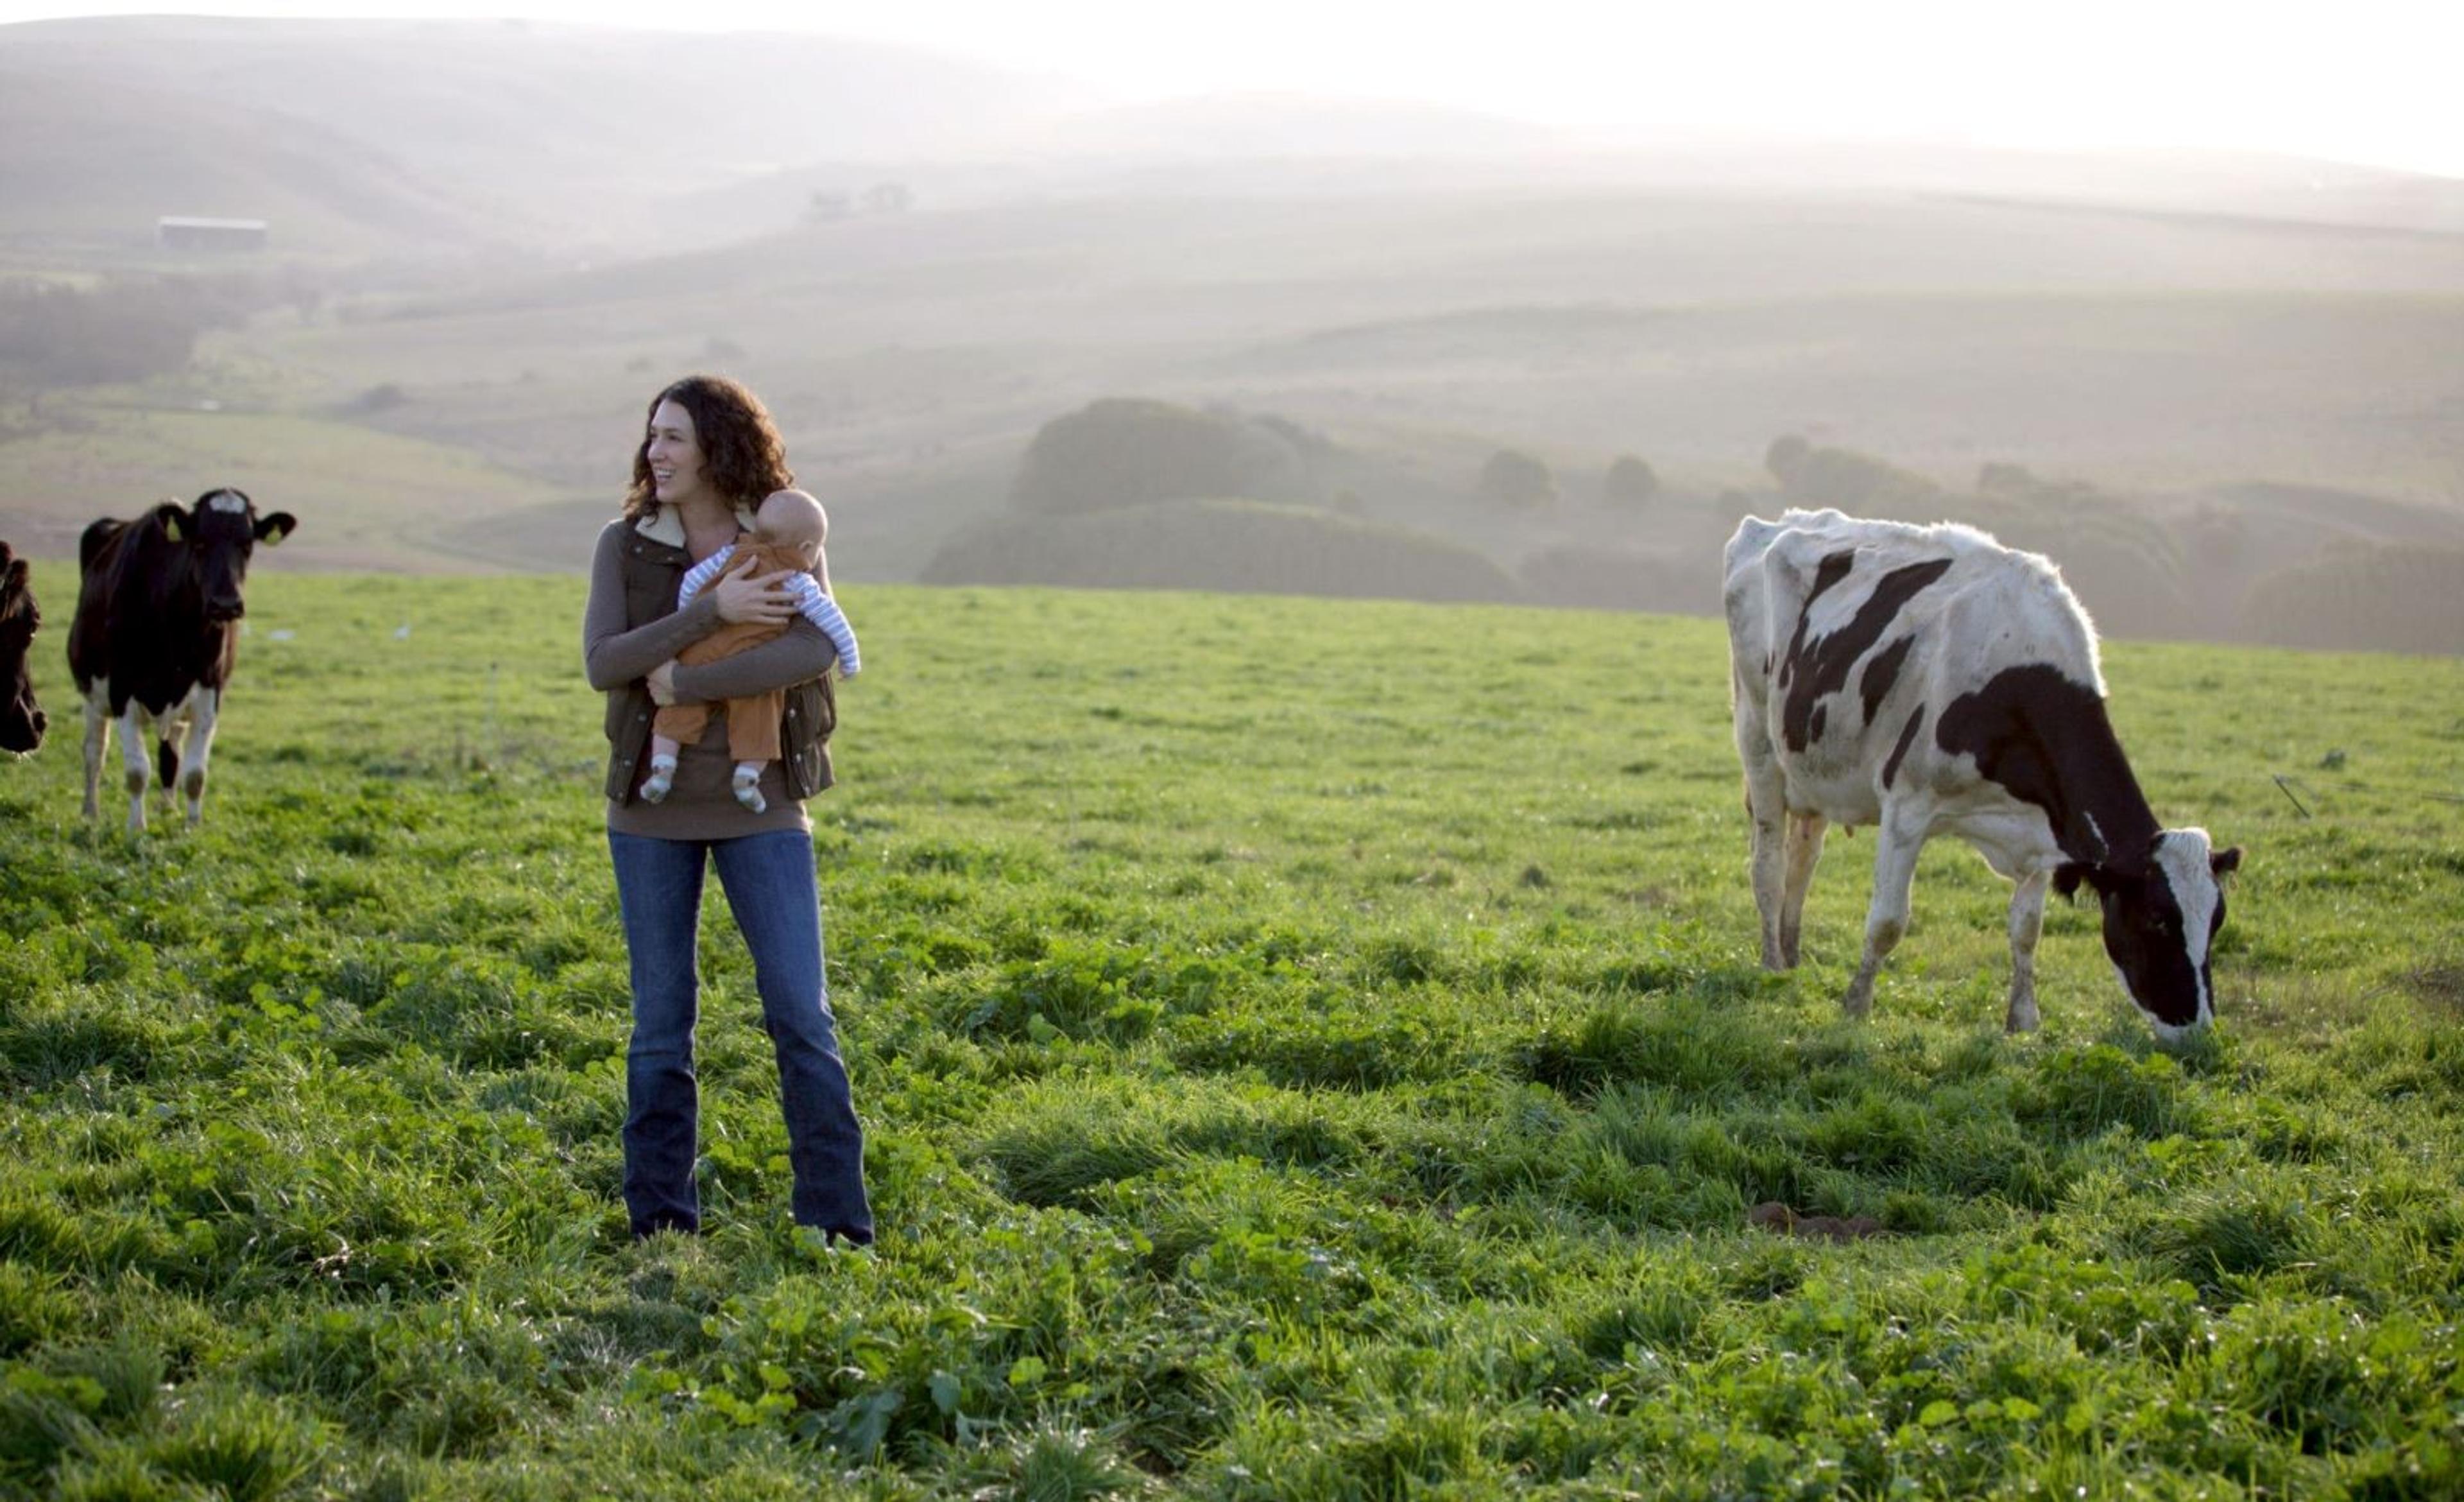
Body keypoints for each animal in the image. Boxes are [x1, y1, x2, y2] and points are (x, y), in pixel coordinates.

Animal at [67, 488, 295, 833]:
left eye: (247, 544)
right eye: (199, 542)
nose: (225, 605)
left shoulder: (209, 694)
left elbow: (194, 774)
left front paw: (192, 827)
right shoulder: (121, 692)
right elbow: (137, 771)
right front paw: (136, 828)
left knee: (170, 754)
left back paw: (168, 808)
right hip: (93, 696)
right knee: (94, 753)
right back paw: (90, 811)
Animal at [1725, 510, 2247, 1035]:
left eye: (2217, 921)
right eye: (2157, 918)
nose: (2199, 1031)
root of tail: (1777, 523)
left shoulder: (2044, 828)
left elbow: (2027, 930)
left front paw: (2024, 1019)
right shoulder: (1906, 808)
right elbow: (1888, 922)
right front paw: (1856, 1004)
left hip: (1813, 770)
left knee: (1804, 858)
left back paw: (1792, 952)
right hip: (1758, 740)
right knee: (1768, 864)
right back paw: (1772, 962)